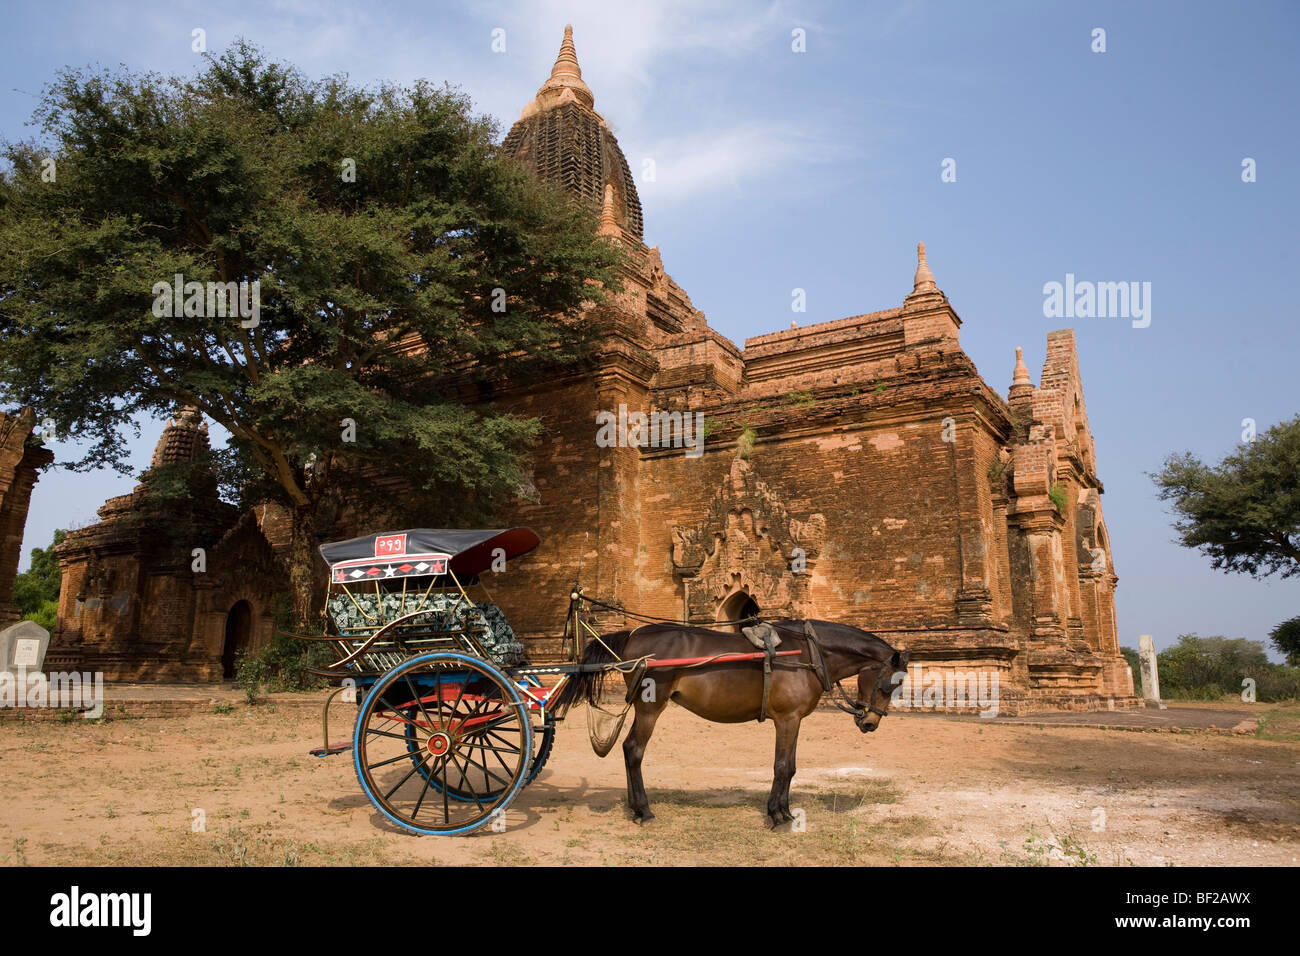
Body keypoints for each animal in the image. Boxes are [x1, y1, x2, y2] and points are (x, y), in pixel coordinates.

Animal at [553, 621, 909, 832]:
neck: (808, 654)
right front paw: (777, 816)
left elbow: (791, 767)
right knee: (633, 750)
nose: (870, 722)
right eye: (890, 684)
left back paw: (634, 808)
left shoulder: (793, 721)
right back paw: (644, 810)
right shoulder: (787, 719)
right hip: (650, 707)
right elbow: (782, 766)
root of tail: (632, 636)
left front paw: (785, 812)